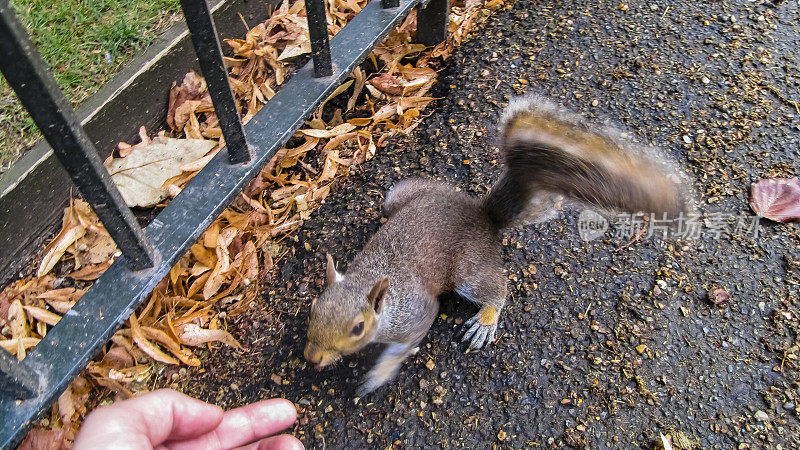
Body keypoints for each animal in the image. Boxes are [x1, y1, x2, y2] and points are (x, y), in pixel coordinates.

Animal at [304, 94, 692, 394]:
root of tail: (481, 215)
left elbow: (407, 340)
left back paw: (486, 320)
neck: (369, 282)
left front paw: (380, 373)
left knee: (494, 288)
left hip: (468, 270)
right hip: (400, 196)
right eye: (314, 308)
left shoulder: (415, 313)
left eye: (358, 328)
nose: (312, 358)